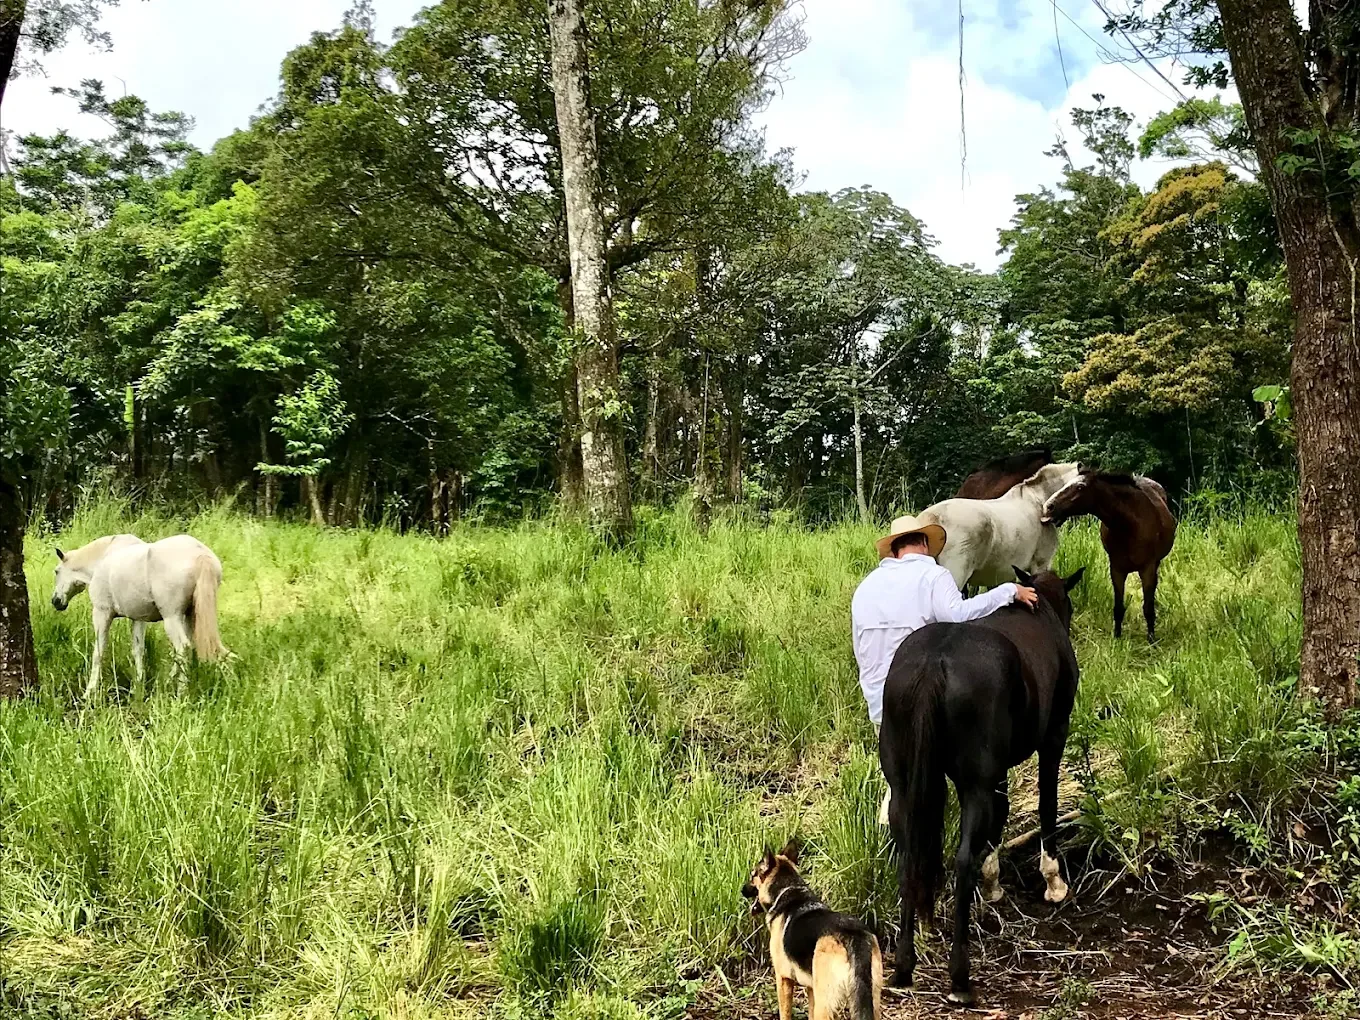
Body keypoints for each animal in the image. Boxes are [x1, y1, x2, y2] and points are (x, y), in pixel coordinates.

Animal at [51, 534, 228, 701]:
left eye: (56, 571)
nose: (56, 601)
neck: (102, 558)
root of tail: (201, 555)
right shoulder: (138, 619)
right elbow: (138, 650)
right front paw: (138, 685)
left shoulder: (102, 613)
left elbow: (98, 652)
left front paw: (89, 692)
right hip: (189, 616)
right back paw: (168, 682)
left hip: (172, 618)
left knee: (183, 648)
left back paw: (180, 691)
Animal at [742, 840, 883, 1020]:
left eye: (753, 875)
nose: (741, 890)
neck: (787, 890)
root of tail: (852, 936)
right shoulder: (811, 989)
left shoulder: (783, 979)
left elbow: (785, 1013)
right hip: (871, 999)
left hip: (826, 1002)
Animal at [879, 566, 1084, 1004]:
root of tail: (934, 663)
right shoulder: (1054, 736)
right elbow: (1046, 804)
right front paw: (1053, 880)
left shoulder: (996, 770)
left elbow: (1002, 811)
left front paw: (994, 881)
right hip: (972, 784)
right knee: (961, 860)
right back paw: (960, 975)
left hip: (904, 788)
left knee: (910, 856)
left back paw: (904, 966)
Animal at [1041, 467, 1176, 641]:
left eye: (1080, 487)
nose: (1048, 507)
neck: (1128, 526)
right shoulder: (1116, 569)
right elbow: (1118, 607)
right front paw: (1117, 637)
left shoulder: (1147, 569)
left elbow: (1148, 607)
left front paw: (1151, 639)